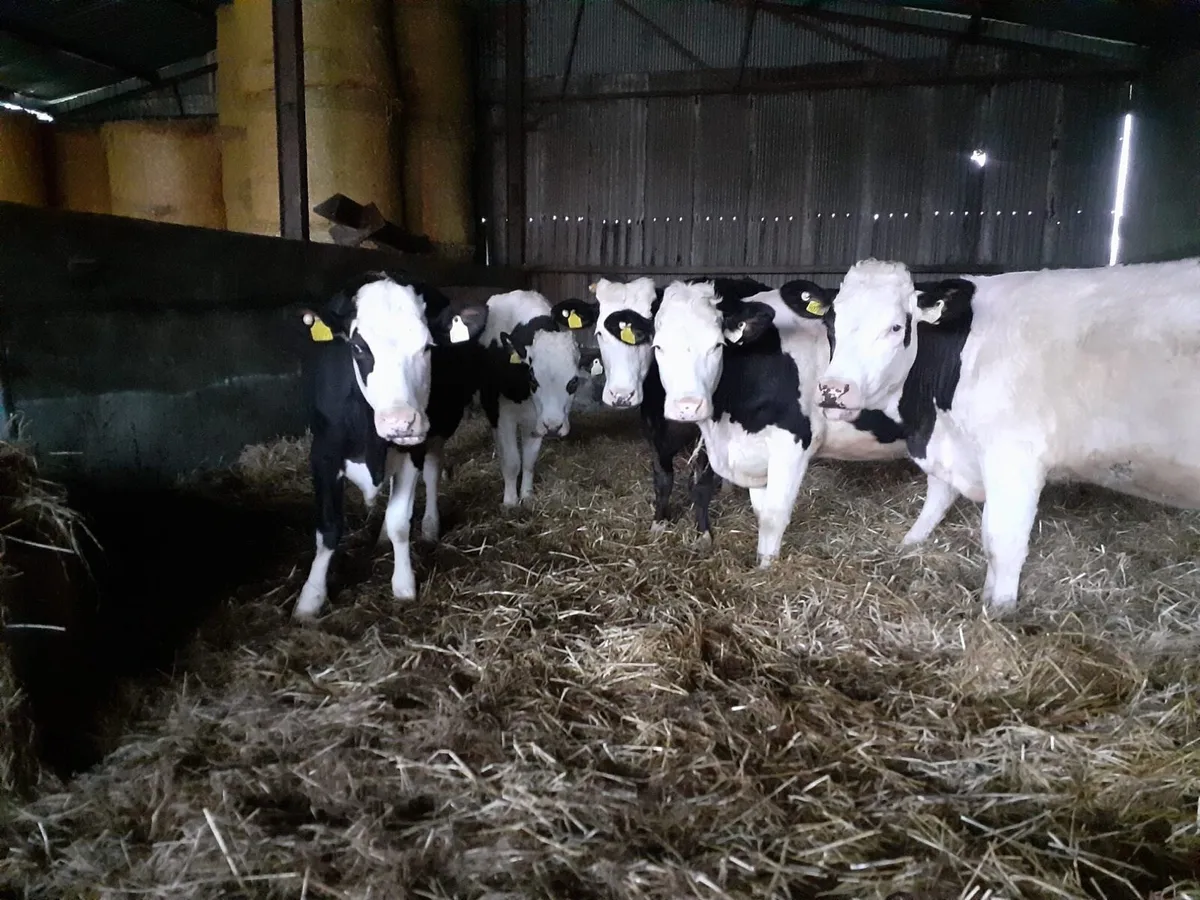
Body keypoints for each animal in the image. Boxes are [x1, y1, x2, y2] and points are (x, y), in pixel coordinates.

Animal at [293, 272, 488, 620]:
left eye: (428, 346)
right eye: (358, 347)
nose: (401, 422)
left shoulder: (413, 450)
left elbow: (400, 522)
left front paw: (404, 585)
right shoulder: (323, 453)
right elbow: (328, 530)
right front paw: (310, 599)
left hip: (437, 428)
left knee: (433, 472)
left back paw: (429, 526)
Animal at [478, 289, 598, 507]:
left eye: (573, 382)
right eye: (533, 379)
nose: (554, 427)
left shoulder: (536, 419)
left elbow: (529, 460)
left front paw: (526, 496)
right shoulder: (503, 415)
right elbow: (512, 460)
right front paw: (510, 501)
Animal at [584, 276, 773, 541]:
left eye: (718, 346)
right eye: (658, 346)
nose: (688, 406)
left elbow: (701, 484)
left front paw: (703, 532)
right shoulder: (652, 426)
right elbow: (663, 478)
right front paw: (659, 521)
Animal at [817, 256, 1200, 611]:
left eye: (896, 327)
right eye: (831, 323)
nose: (833, 390)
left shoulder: (1014, 457)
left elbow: (1002, 542)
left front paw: (999, 611)